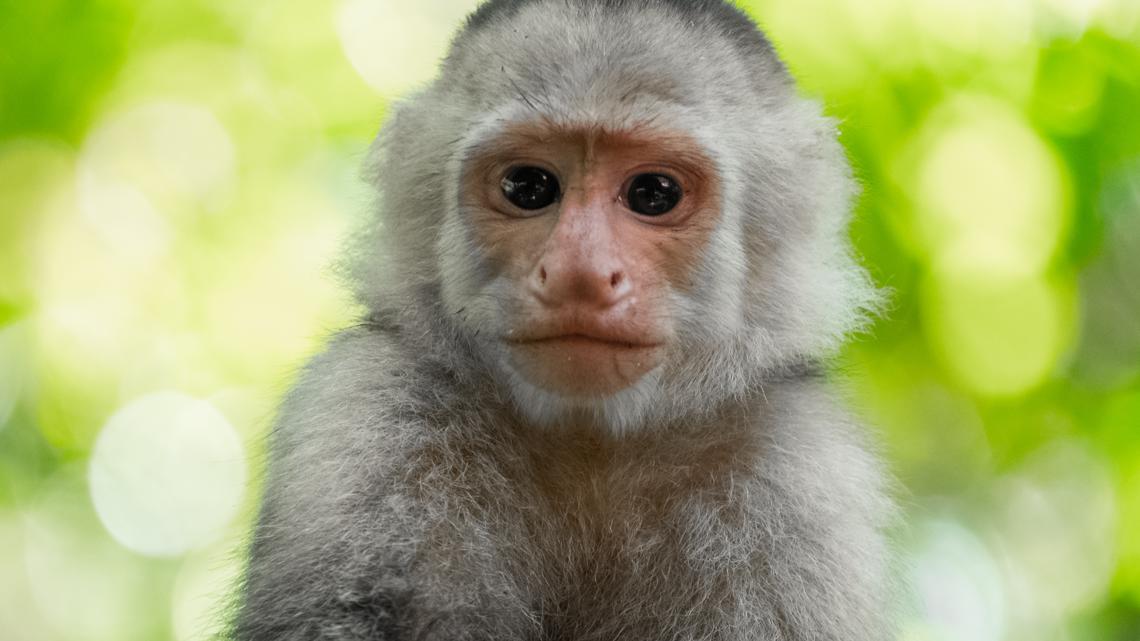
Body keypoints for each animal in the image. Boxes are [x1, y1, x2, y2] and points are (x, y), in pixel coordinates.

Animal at [228, 1, 897, 640]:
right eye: (529, 186)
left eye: (654, 193)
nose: (580, 272)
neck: (589, 446)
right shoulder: (366, 410)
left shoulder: (799, 467)